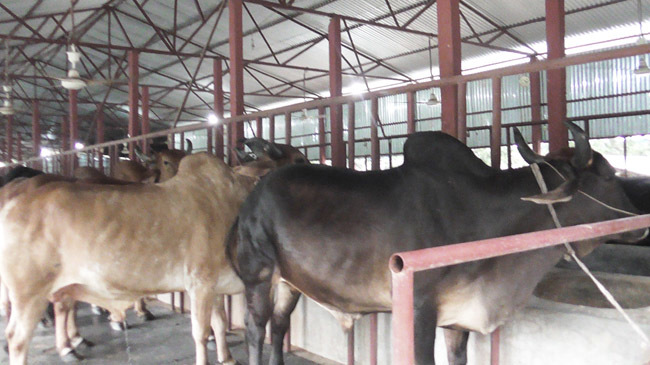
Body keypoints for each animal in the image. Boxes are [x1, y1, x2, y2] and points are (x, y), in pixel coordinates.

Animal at [229, 121, 644, 362]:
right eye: (609, 175)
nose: (639, 223)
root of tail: (251, 198)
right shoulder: (418, 308)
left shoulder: (457, 317)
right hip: (258, 276)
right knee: (256, 327)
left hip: (289, 282)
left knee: (280, 325)